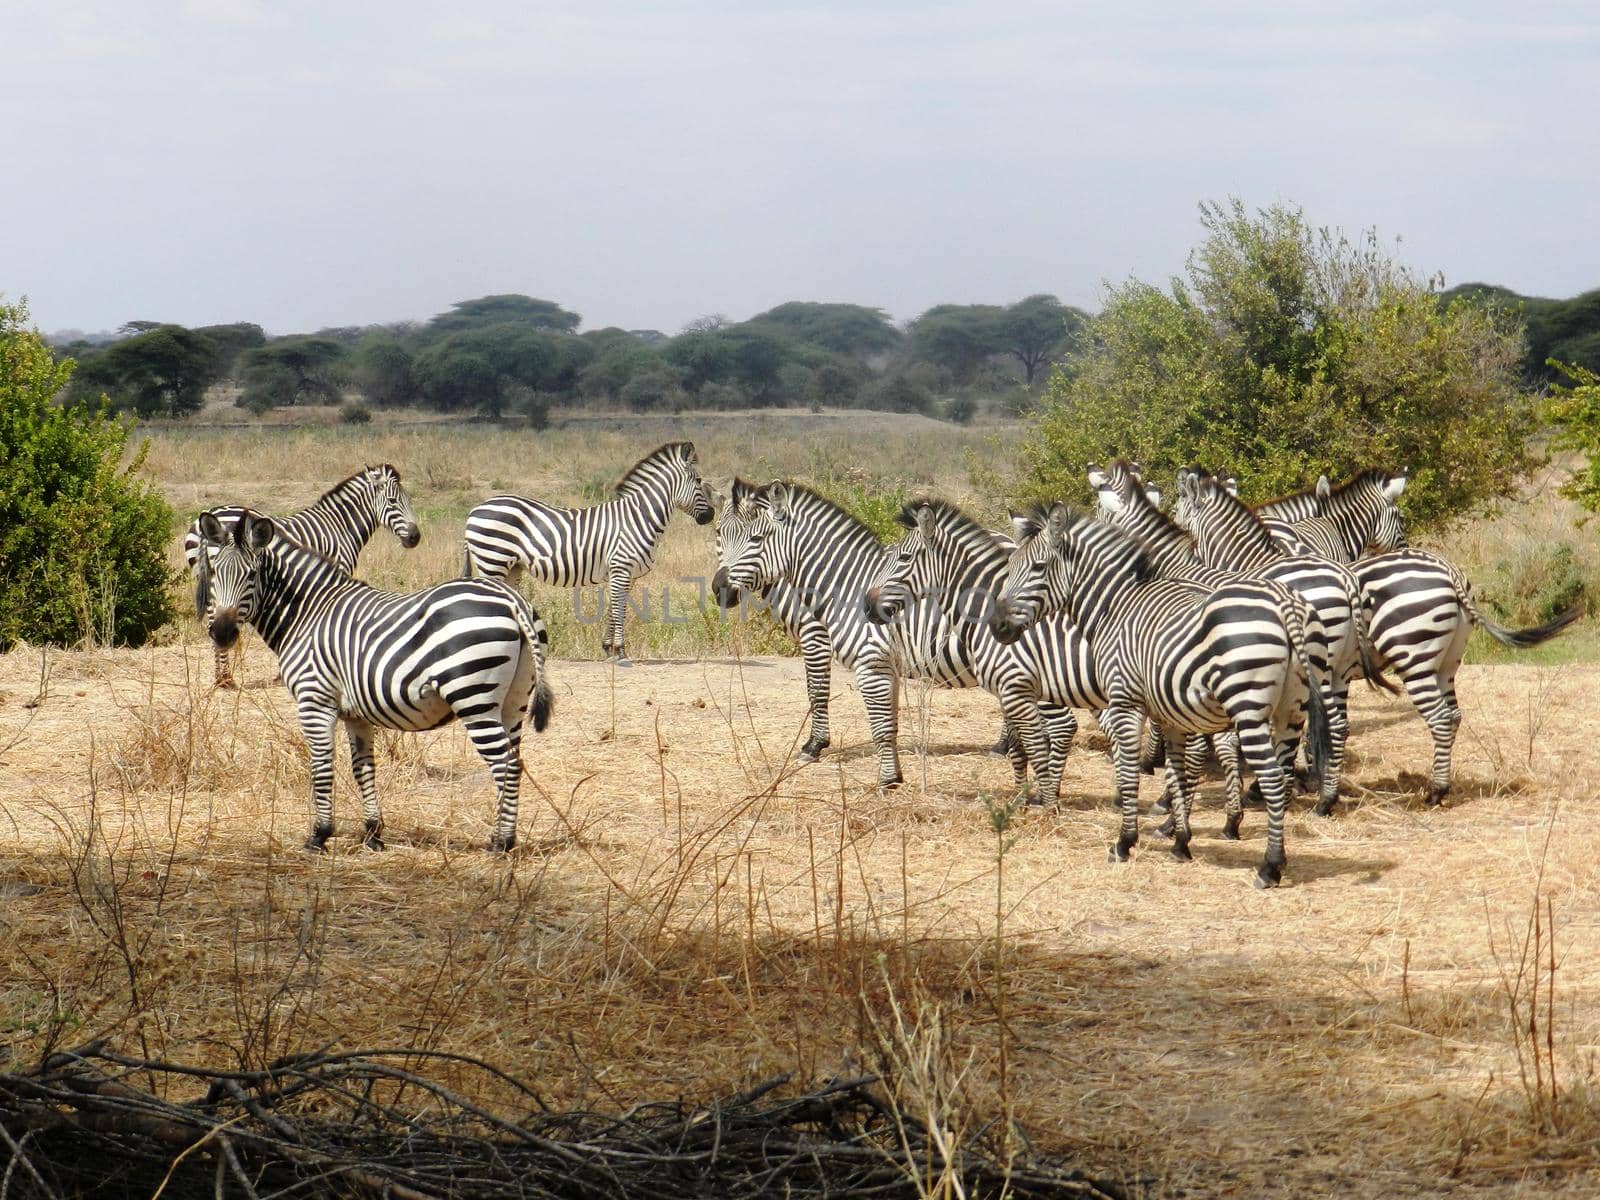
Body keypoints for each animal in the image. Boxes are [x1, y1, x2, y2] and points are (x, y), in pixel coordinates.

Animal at [184, 473, 422, 694]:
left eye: (409, 500)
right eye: (392, 501)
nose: (415, 538)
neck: (340, 525)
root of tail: (203, 520)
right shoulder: (336, 571)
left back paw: (220, 677)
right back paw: (225, 678)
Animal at [195, 508, 550, 857]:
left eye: (252, 575)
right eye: (214, 574)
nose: (222, 634)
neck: (308, 613)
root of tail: (510, 599)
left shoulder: (314, 701)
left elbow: (321, 768)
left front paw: (319, 835)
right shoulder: (356, 714)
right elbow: (363, 768)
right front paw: (373, 833)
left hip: (473, 698)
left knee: (505, 765)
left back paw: (502, 844)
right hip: (514, 701)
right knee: (516, 761)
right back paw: (500, 837)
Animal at [464, 441, 713, 668]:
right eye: (699, 481)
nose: (710, 515)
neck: (639, 518)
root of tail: (475, 509)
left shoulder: (625, 574)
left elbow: (615, 607)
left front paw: (609, 650)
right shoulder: (621, 568)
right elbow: (620, 609)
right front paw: (621, 653)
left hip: (511, 568)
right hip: (492, 561)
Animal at [992, 502, 1331, 889]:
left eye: (1038, 567)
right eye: (1011, 566)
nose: (997, 626)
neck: (1114, 608)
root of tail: (1286, 601)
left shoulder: (1125, 701)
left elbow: (1129, 772)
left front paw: (1124, 842)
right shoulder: (1169, 714)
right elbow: (1177, 773)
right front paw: (1181, 842)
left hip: (1248, 707)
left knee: (1273, 777)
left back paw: (1270, 866)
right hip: (1292, 709)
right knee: (1284, 773)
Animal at [1177, 470, 1574, 809]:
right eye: (1400, 518)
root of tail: (1449, 572)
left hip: (1412, 657)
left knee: (1438, 718)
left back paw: (1431, 792)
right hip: (1447, 661)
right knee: (1453, 715)